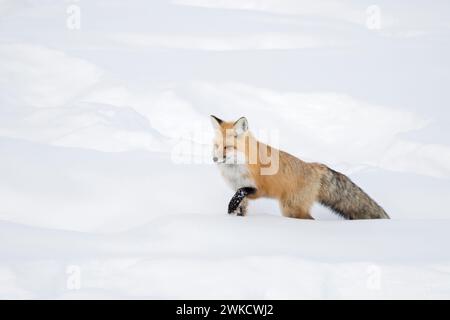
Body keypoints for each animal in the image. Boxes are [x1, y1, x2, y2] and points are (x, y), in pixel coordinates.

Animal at [211, 115, 390, 220]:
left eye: (228, 147)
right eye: (217, 146)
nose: (214, 159)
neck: (236, 170)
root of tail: (315, 166)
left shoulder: (258, 189)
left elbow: (240, 193)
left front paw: (231, 208)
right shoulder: (241, 190)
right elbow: (240, 206)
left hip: (291, 208)